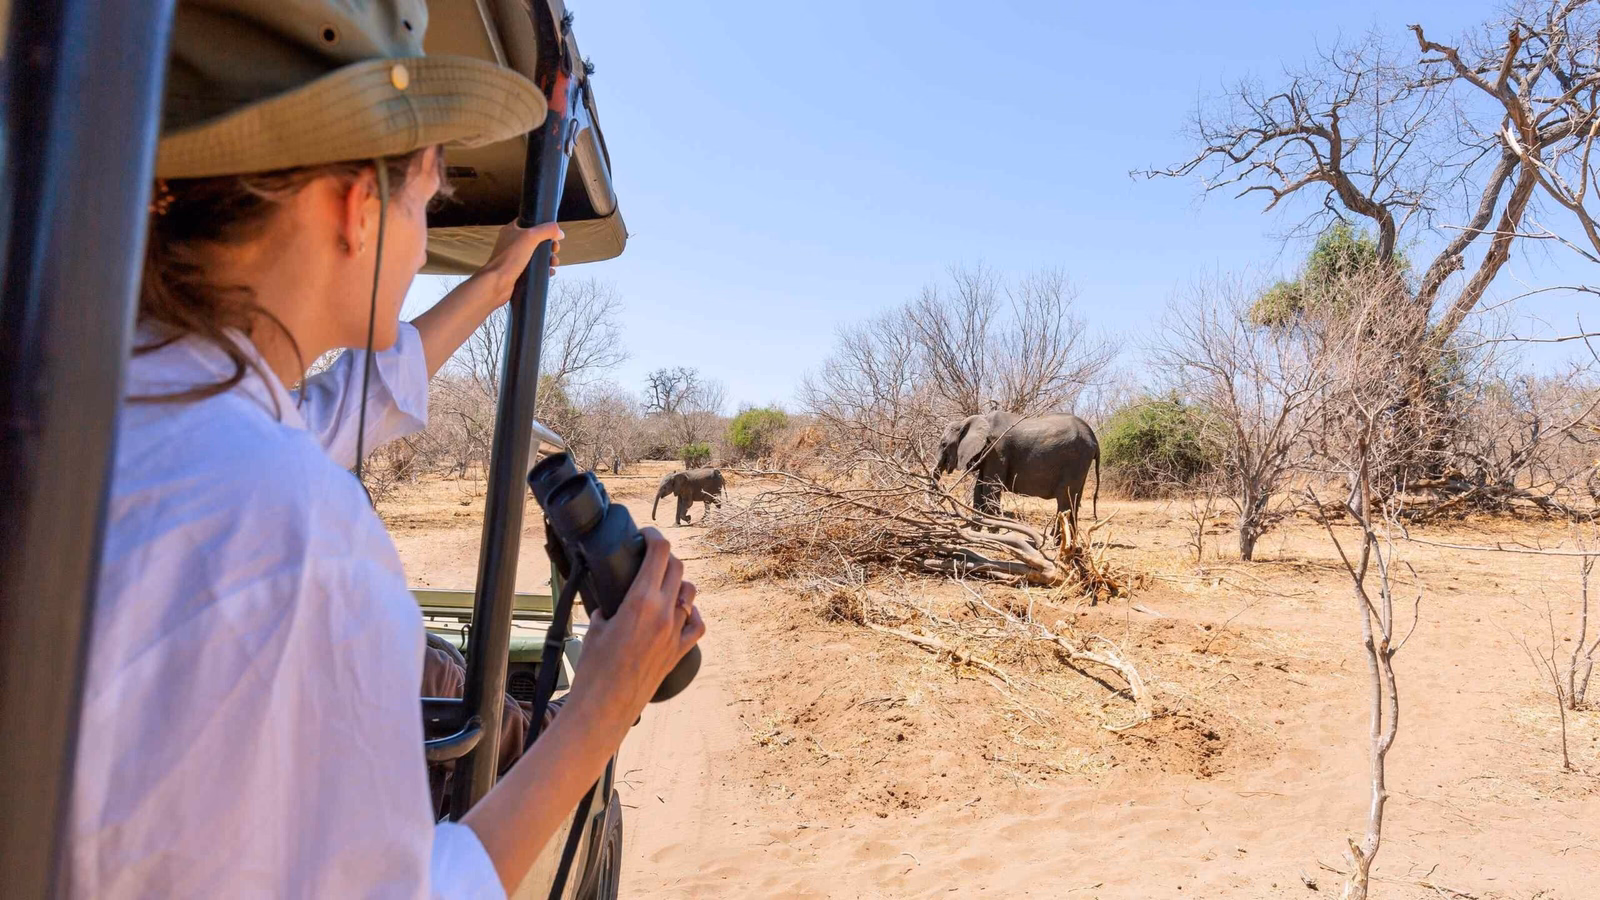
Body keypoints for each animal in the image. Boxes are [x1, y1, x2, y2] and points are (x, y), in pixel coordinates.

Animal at [934, 411, 1100, 537]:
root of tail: (1095, 439)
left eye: (943, 444)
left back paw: (1056, 540)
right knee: (1074, 500)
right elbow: (979, 487)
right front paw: (975, 528)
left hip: (1075, 460)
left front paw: (993, 531)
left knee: (1065, 500)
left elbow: (991, 487)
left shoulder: (997, 450)